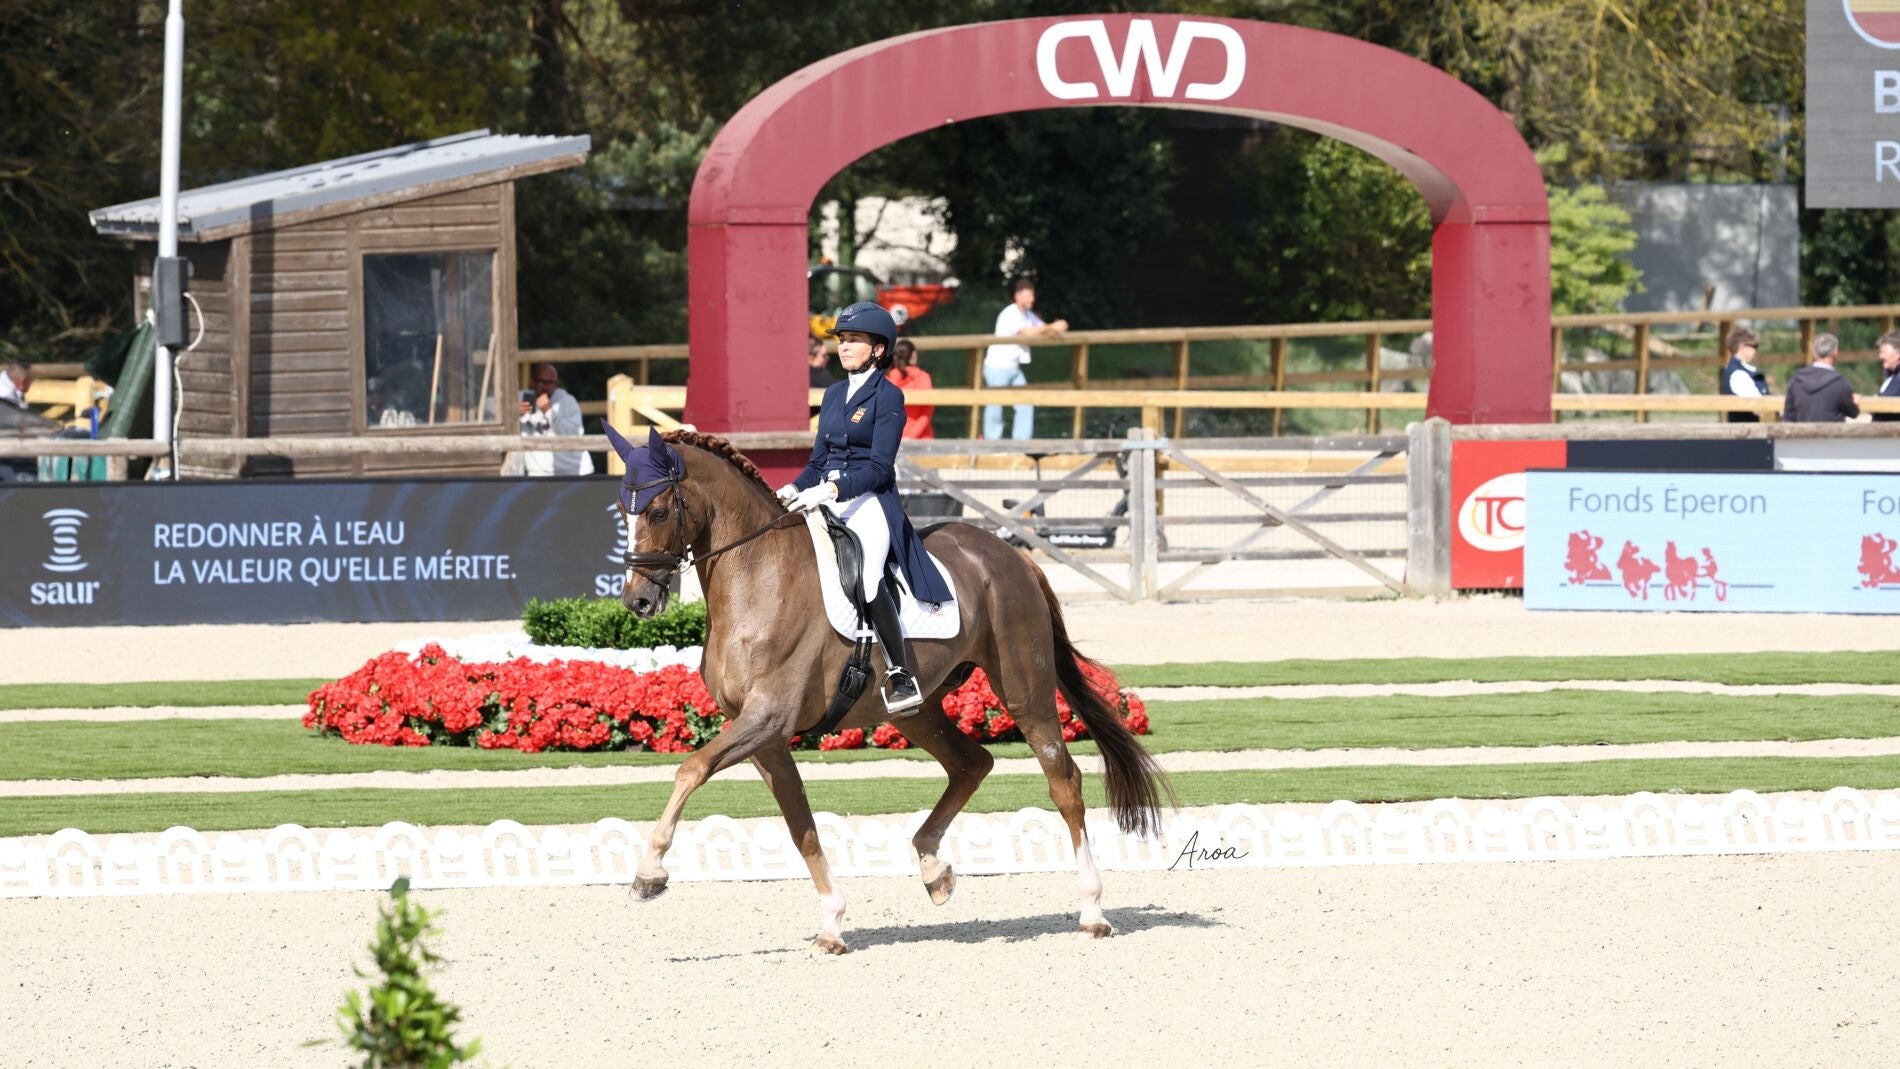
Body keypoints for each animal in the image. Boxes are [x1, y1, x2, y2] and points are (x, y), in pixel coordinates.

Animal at [605, 427, 1174, 953]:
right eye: (622, 510)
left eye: (658, 510)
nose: (637, 601)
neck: (757, 577)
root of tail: (1010, 555)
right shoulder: (764, 737)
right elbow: (799, 824)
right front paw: (832, 924)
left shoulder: (767, 718)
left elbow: (691, 769)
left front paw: (649, 873)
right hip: (915, 709)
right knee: (971, 762)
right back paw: (933, 869)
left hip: (1024, 689)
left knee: (1064, 782)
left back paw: (1092, 911)